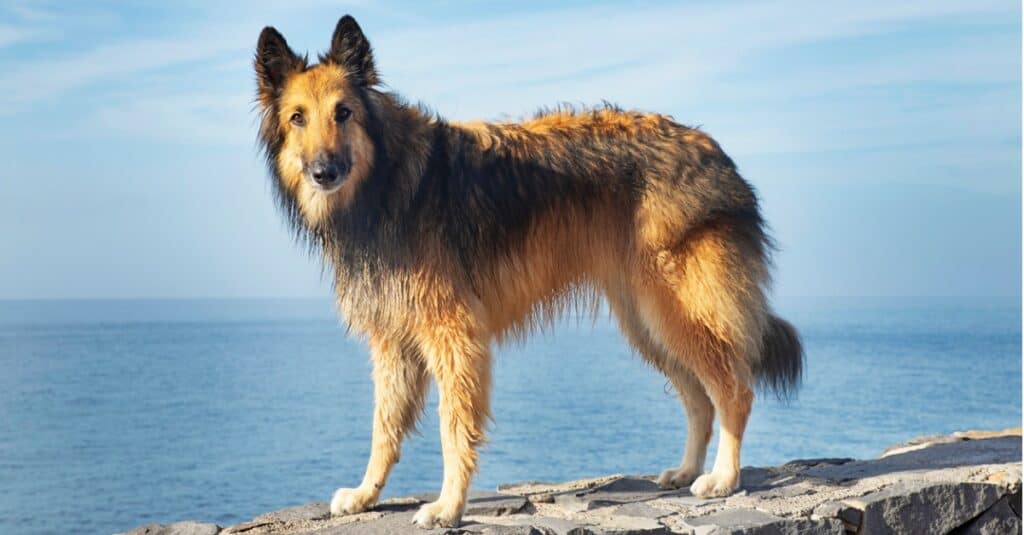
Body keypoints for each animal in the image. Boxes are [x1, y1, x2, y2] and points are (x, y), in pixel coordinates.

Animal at [253, 14, 798, 524]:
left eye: (343, 112)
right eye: (298, 118)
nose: (323, 172)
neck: (386, 180)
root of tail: (715, 151)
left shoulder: (454, 335)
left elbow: (454, 428)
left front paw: (448, 505)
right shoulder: (394, 343)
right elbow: (383, 428)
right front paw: (366, 494)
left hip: (678, 312)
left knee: (733, 391)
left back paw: (722, 477)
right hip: (648, 321)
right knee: (699, 400)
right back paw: (686, 470)